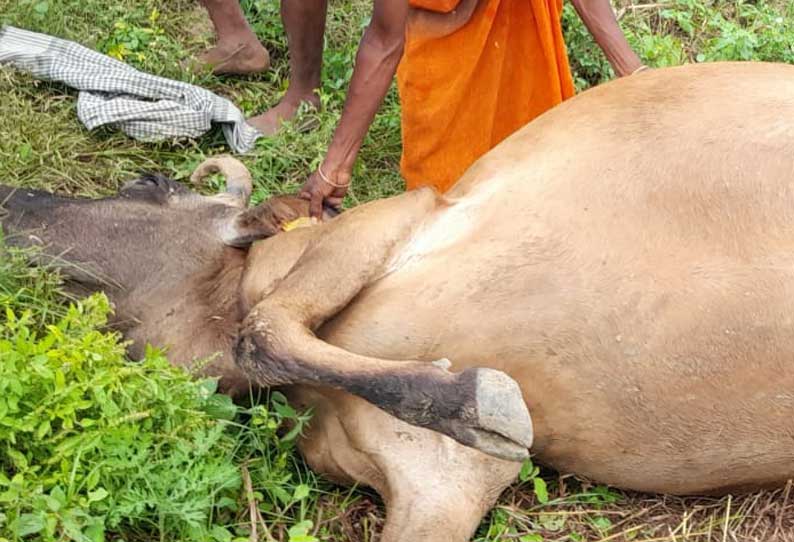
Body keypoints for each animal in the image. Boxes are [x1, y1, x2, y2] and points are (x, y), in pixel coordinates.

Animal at [1, 61, 792, 540]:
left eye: (145, 186)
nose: (12, 198)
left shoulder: (397, 217)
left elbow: (265, 329)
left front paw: (477, 398)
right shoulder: (447, 483)